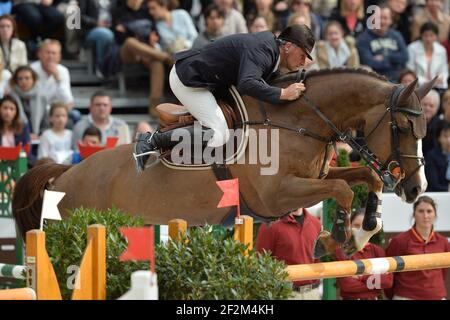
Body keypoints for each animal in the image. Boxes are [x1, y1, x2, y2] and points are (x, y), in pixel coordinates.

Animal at [12, 69, 434, 258]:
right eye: (401, 126)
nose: (416, 189)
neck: (298, 120)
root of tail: (65, 174)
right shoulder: (275, 195)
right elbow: (344, 188)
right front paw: (339, 237)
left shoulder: (317, 174)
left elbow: (364, 178)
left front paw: (363, 230)